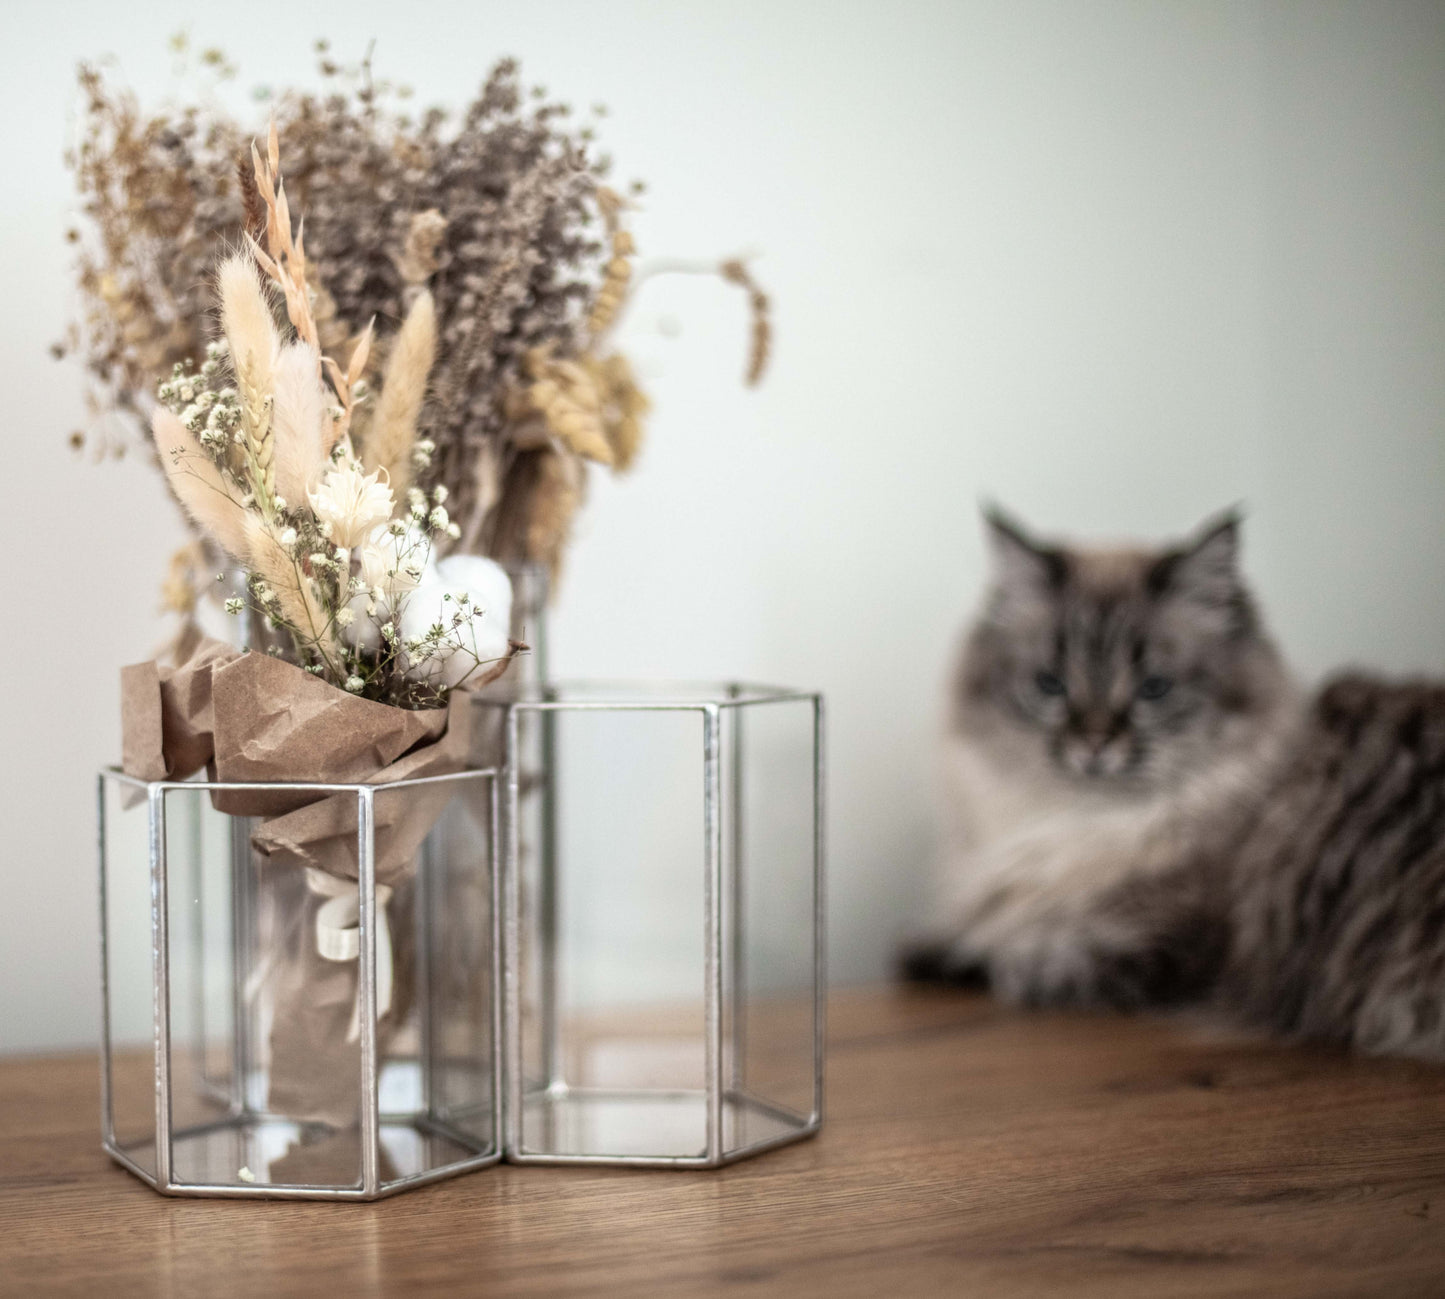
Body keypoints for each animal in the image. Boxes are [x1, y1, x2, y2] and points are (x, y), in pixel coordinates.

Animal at [901, 502, 1445, 1063]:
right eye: (1050, 685)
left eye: (1154, 689)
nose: (1094, 744)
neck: (1082, 827)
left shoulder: (1150, 951)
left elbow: (1005, 958)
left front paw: (943, 954)